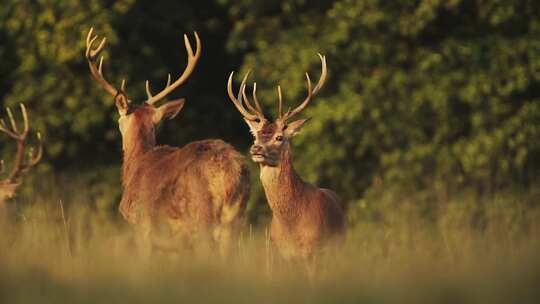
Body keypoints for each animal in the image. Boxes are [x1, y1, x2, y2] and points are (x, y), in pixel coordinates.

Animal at [85, 27, 251, 256]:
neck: (134, 165)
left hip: (201, 216)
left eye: (119, 121)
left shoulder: (141, 226)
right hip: (235, 220)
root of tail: (230, 171)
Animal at [227, 55, 346, 268]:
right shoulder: (280, 254)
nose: (256, 149)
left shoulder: (313, 253)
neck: (292, 226)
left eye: (279, 137)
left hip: (339, 247)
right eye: (256, 136)